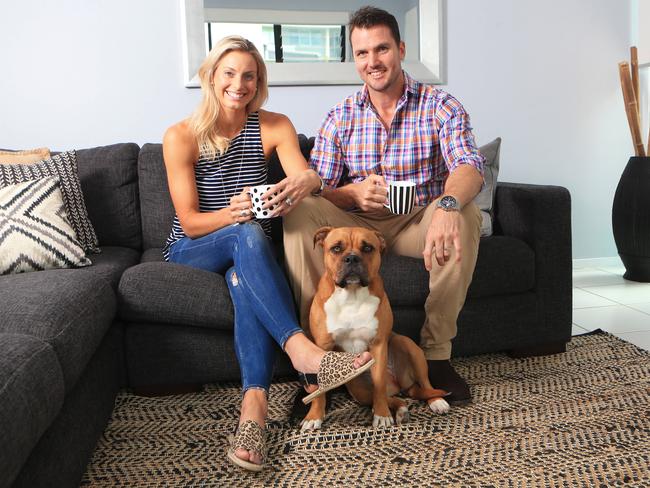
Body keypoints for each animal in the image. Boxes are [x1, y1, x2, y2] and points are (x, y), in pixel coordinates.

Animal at [300, 226, 448, 430]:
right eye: (336, 248)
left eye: (368, 248)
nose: (352, 258)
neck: (351, 294)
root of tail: (400, 385)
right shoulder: (322, 346)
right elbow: (320, 391)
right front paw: (314, 416)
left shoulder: (378, 345)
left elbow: (379, 385)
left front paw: (382, 414)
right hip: (359, 389)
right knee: (394, 398)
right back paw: (401, 410)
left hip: (408, 346)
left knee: (422, 384)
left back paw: (436, 401)